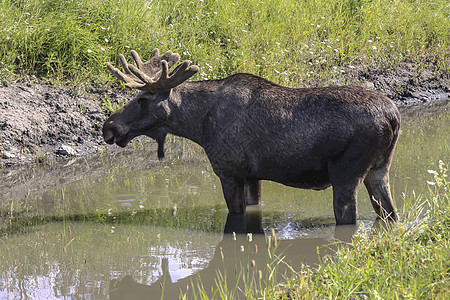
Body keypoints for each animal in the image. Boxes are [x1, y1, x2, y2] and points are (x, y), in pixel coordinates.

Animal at [103, 48, 400, 225]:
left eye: (142, 99)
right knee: (391, 214)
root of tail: (394, 117)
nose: (109, 126)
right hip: (379, 169)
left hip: (346, 173)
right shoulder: (252, 176)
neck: (198, 126)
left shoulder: (230, 172)